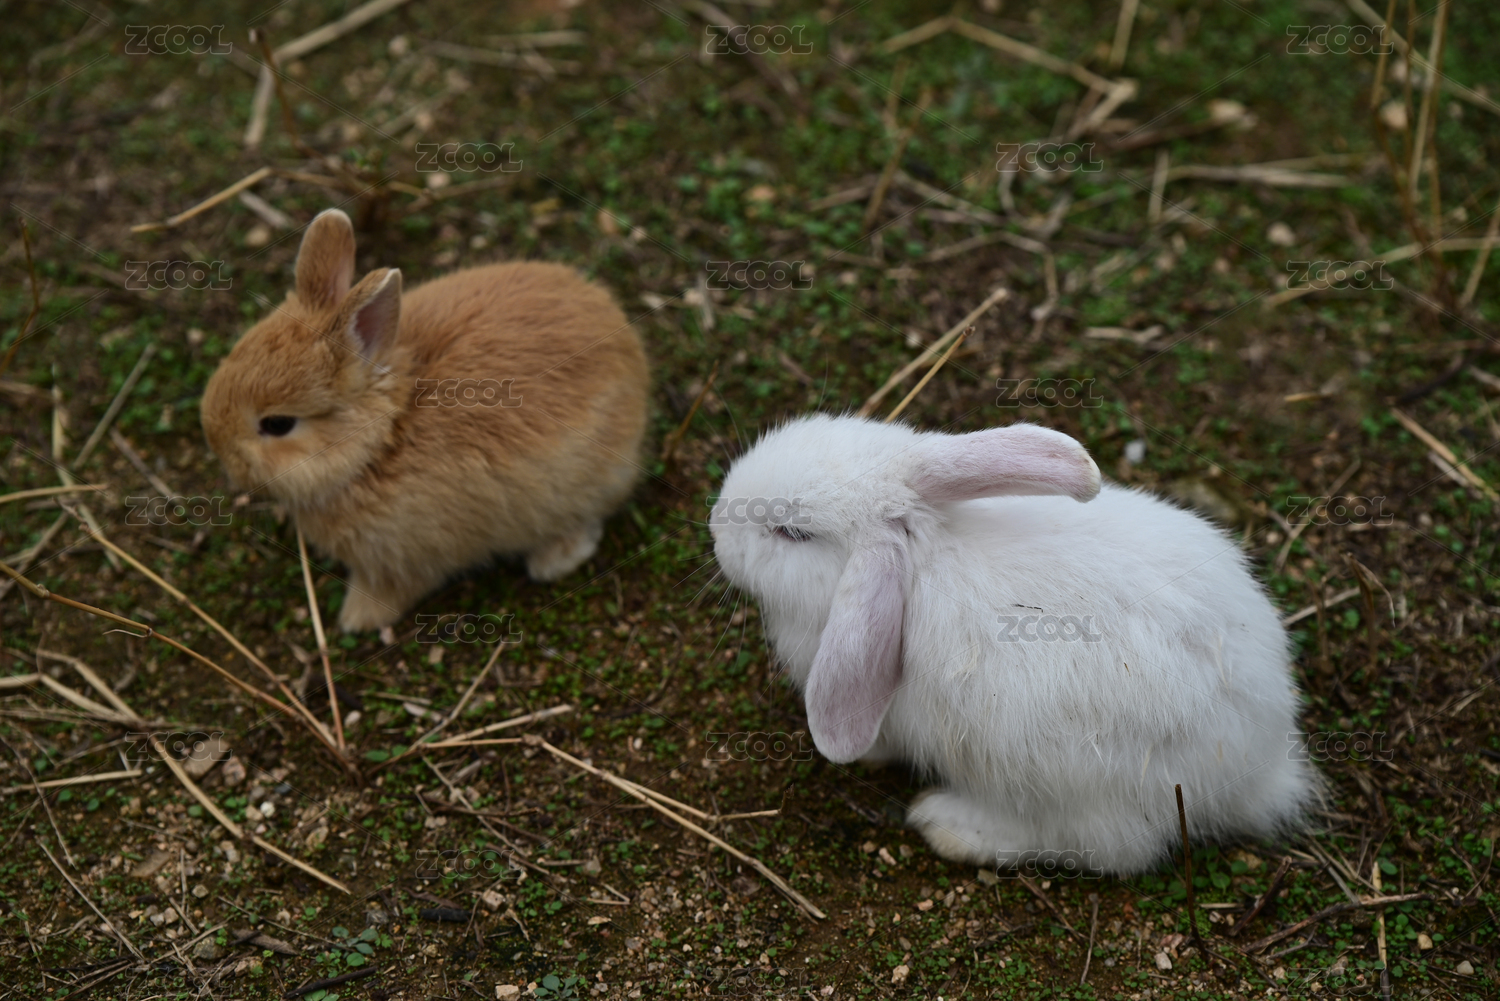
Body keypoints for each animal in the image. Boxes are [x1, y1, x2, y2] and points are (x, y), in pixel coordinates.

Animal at [202, 208, 649, 632]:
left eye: (277, 425)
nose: (222, 454)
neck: (379, 443)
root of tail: (626, 340)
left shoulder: (405, 559)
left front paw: (357, 619)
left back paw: (552, 561)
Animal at [710, 414, 1315, 875]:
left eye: (793, 533)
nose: (716, 522)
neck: (923, 554)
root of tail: (1262, 769)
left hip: (1074, 788)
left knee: (1101, 850)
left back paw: (949, 824)